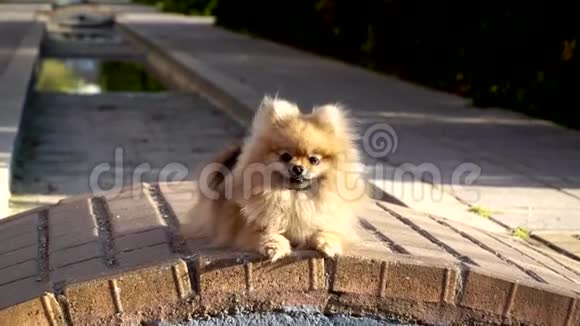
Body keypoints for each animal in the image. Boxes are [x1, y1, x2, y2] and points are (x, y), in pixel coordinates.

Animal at [182, 95, 368, 262]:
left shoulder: (328, 220)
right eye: (286, 156)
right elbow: (267, 233)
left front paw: (328, 244)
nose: (298, 168)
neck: (294, 198)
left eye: (314, 160)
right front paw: (275, 247)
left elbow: (327, 231)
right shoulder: (247, 227)